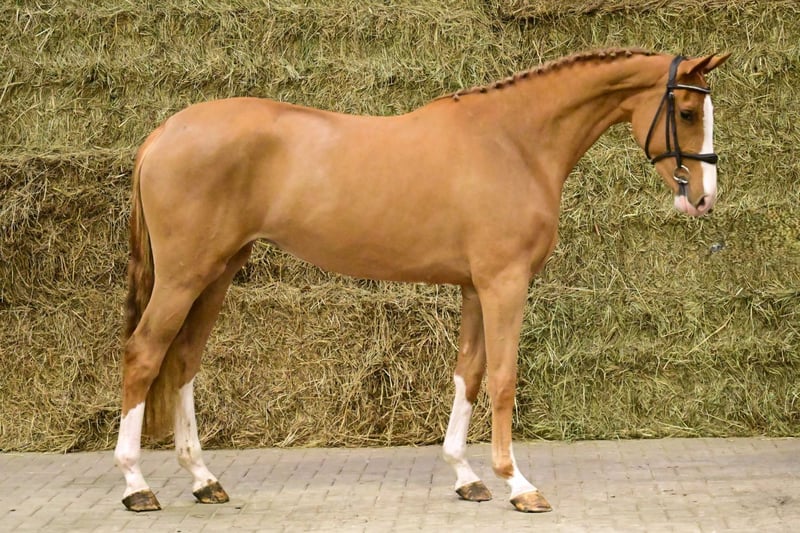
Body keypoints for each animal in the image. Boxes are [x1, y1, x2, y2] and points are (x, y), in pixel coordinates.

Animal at [113, 48, 729, 513]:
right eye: (686, 109)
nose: (703, 199)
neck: (513, 141)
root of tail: (165, 131)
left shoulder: (476, 287)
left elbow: (469, 374)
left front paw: (466, 477)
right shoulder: (505, 283)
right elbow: (503, 378)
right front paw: (517, 483)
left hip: (217, 273)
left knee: (183, 361)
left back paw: (203, 479)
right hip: (184, 277)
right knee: (144, 354)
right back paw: (136, 485)